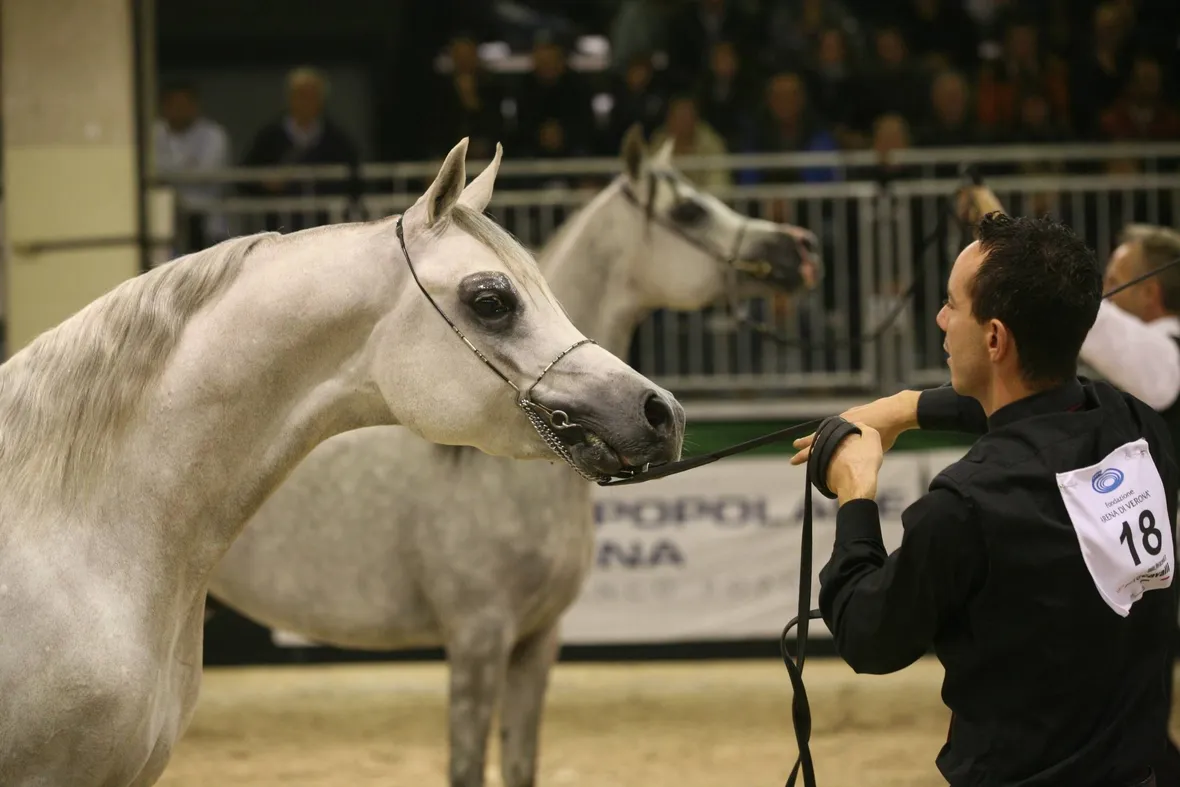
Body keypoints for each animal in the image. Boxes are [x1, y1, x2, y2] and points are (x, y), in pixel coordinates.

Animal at [204, 127, 820, 787]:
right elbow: (468, 766)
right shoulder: (478, 640)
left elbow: (522, 764)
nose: (800, 249)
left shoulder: (536, 641)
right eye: (689, 211)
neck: (498, 474)